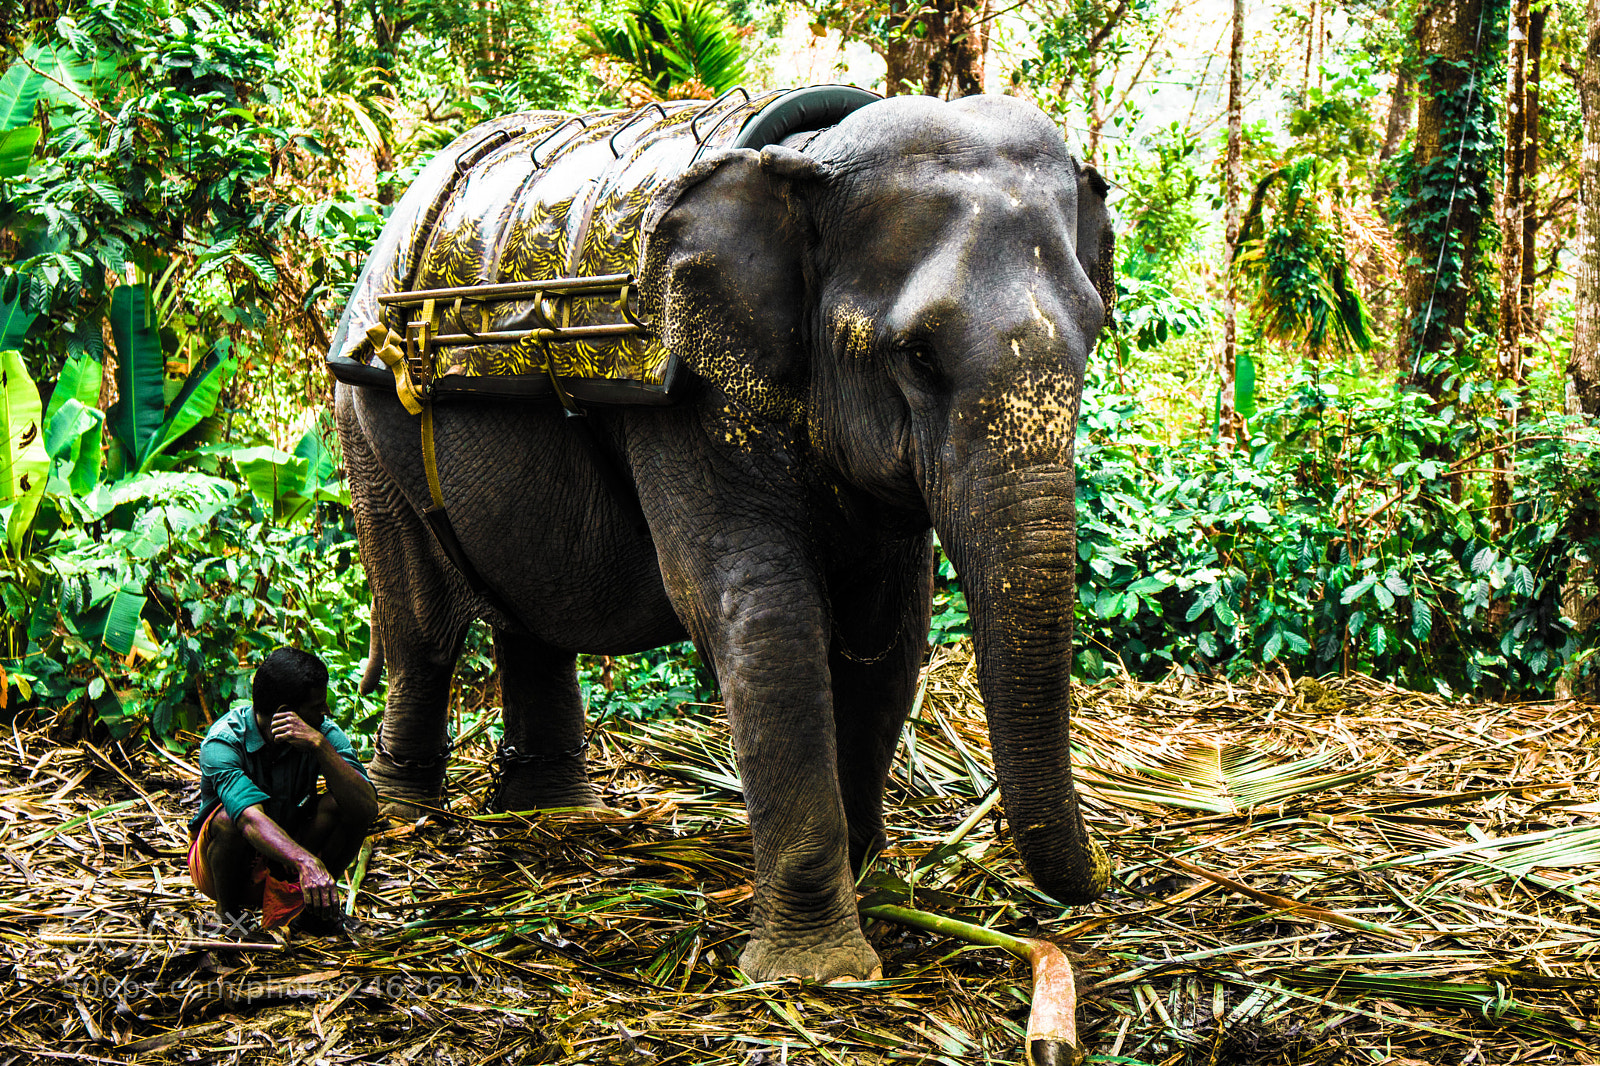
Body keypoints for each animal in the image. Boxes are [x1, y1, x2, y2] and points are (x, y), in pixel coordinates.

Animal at [329, 87, 1115, 984]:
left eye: (1095, 330)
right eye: (917, 356)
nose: (1103, 873)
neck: (806, 161)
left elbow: (888, 630)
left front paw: (877, 891)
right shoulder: (692, 393)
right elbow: (762, 614)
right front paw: (819, 973)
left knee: (533, 610)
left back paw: (552, 817)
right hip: (369, 422)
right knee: (423, 623)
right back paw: (402, 816)